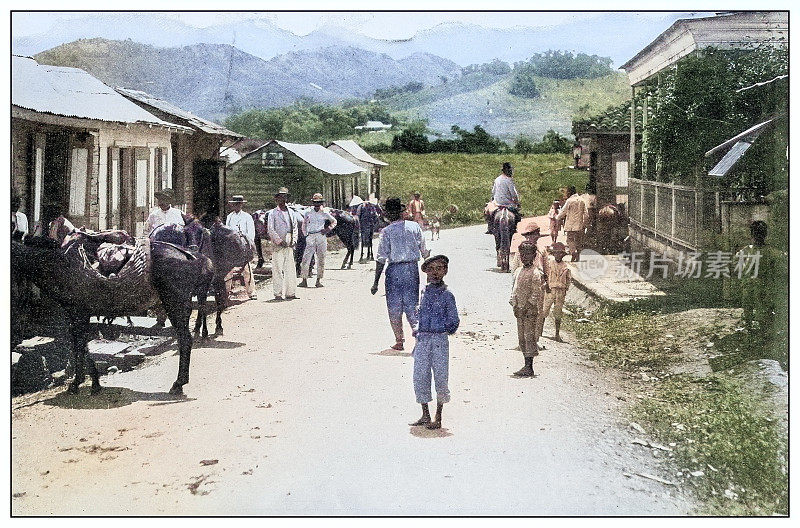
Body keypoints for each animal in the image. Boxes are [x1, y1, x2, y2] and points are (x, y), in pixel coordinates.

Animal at [13, 233, 212, 394]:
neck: (58, 264)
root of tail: (194, 257)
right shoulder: (82, 315)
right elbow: (82, 346)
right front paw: (92, 382)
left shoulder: (77, 313)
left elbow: (79, 345)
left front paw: (80, 383)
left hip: (175, 304)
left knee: (185, 339)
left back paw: (178, 384)